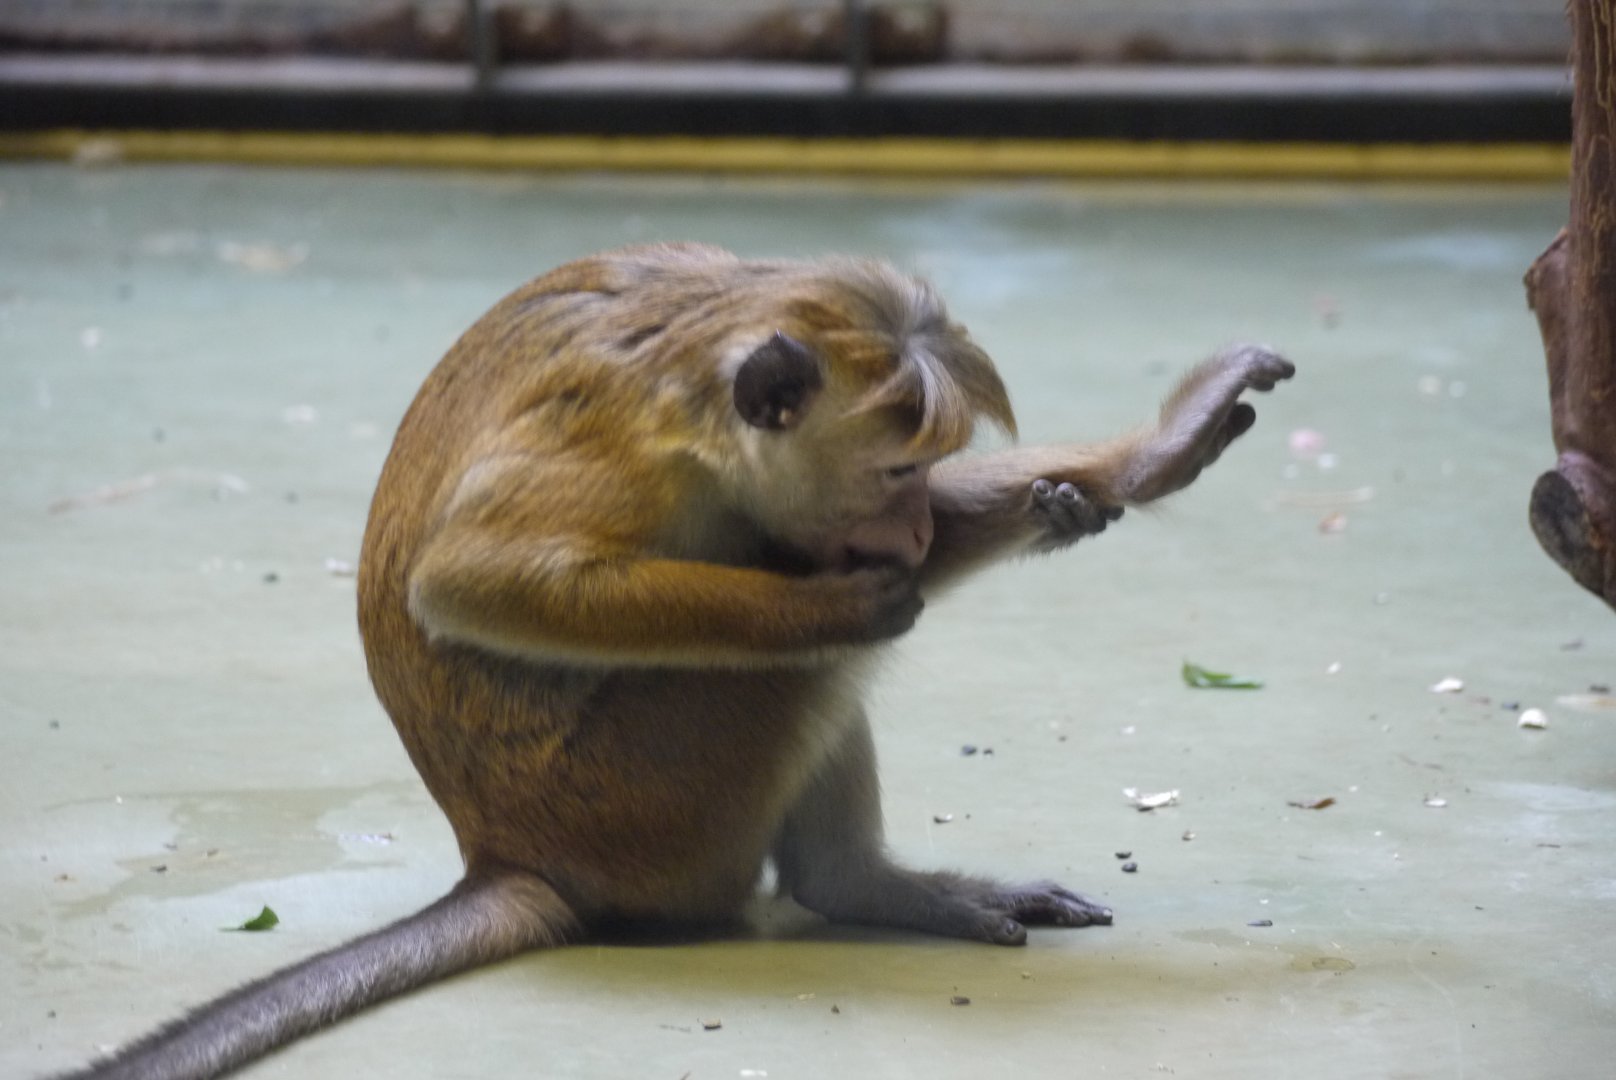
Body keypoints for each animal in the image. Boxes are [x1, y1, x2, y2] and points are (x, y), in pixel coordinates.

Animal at [53, 243, 1293, 1080]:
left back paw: (870, 879)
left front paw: (1138, 460)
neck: (701, 386)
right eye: (893, 475)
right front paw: (841, 598)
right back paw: (846, 846)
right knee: (795, 672)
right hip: (652, 800)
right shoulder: (627, 456)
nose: (908, 533)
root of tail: (508, 852)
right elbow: (468, 580)